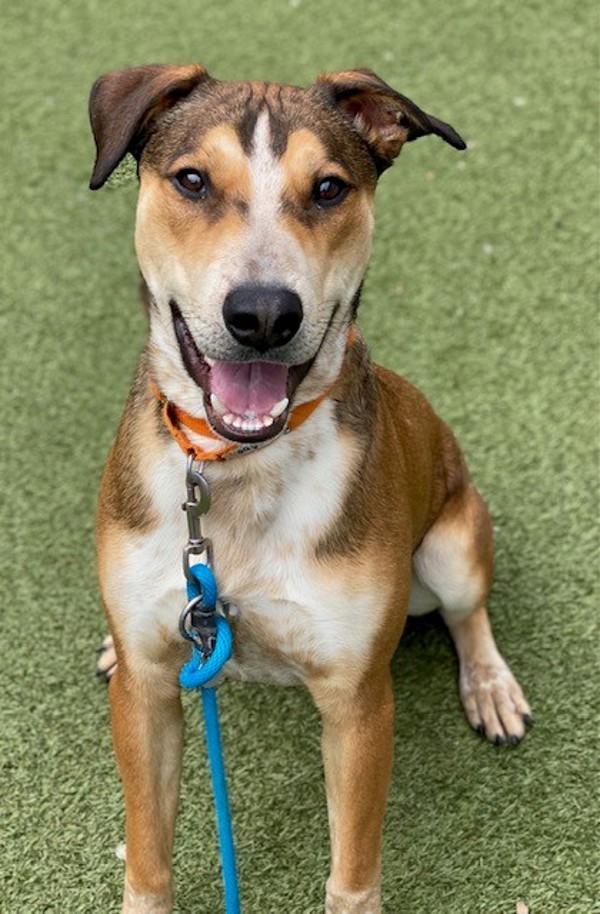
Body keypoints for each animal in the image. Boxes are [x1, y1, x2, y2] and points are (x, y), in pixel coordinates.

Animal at [89, 66, 528, 912]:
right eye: (192, 180)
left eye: (328, 189)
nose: (263, 314)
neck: (237, 468)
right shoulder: (149, 689)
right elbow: (148, 853)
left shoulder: (358, 702)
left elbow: (352, 872)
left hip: (453, 543)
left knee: (469, 614)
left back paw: (491, 686)